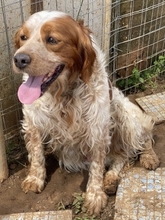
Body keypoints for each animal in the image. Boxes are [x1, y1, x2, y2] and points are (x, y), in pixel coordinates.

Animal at [12, 10, 160, 215]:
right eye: (23, 37)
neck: (63, 95)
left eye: (52, 39)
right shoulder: (33, 122)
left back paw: (148, 158)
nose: (19, 59)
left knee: (142, 139)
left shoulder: (98, 129)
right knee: (122, 156)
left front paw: (95, 197)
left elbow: (97, 167)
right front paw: (35, 179)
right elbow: (36, 154)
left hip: (124, 112)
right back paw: (111, 180)